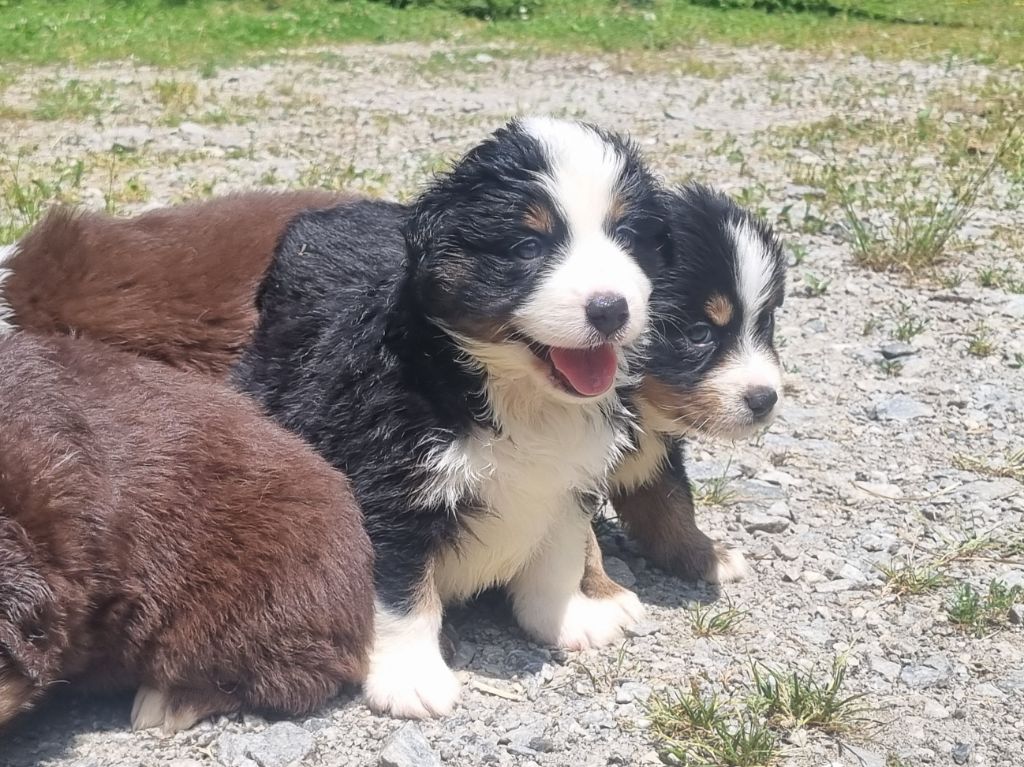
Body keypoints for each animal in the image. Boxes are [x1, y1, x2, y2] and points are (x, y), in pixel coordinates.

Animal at [235, 118, 671, 719]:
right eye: (528, 246)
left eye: (627, 236)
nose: (611, 309)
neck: (514, 396)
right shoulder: (390, 489)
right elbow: (403, 594)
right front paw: (411, 679)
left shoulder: (570, 478)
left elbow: (558, 556)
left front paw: (564, 619)